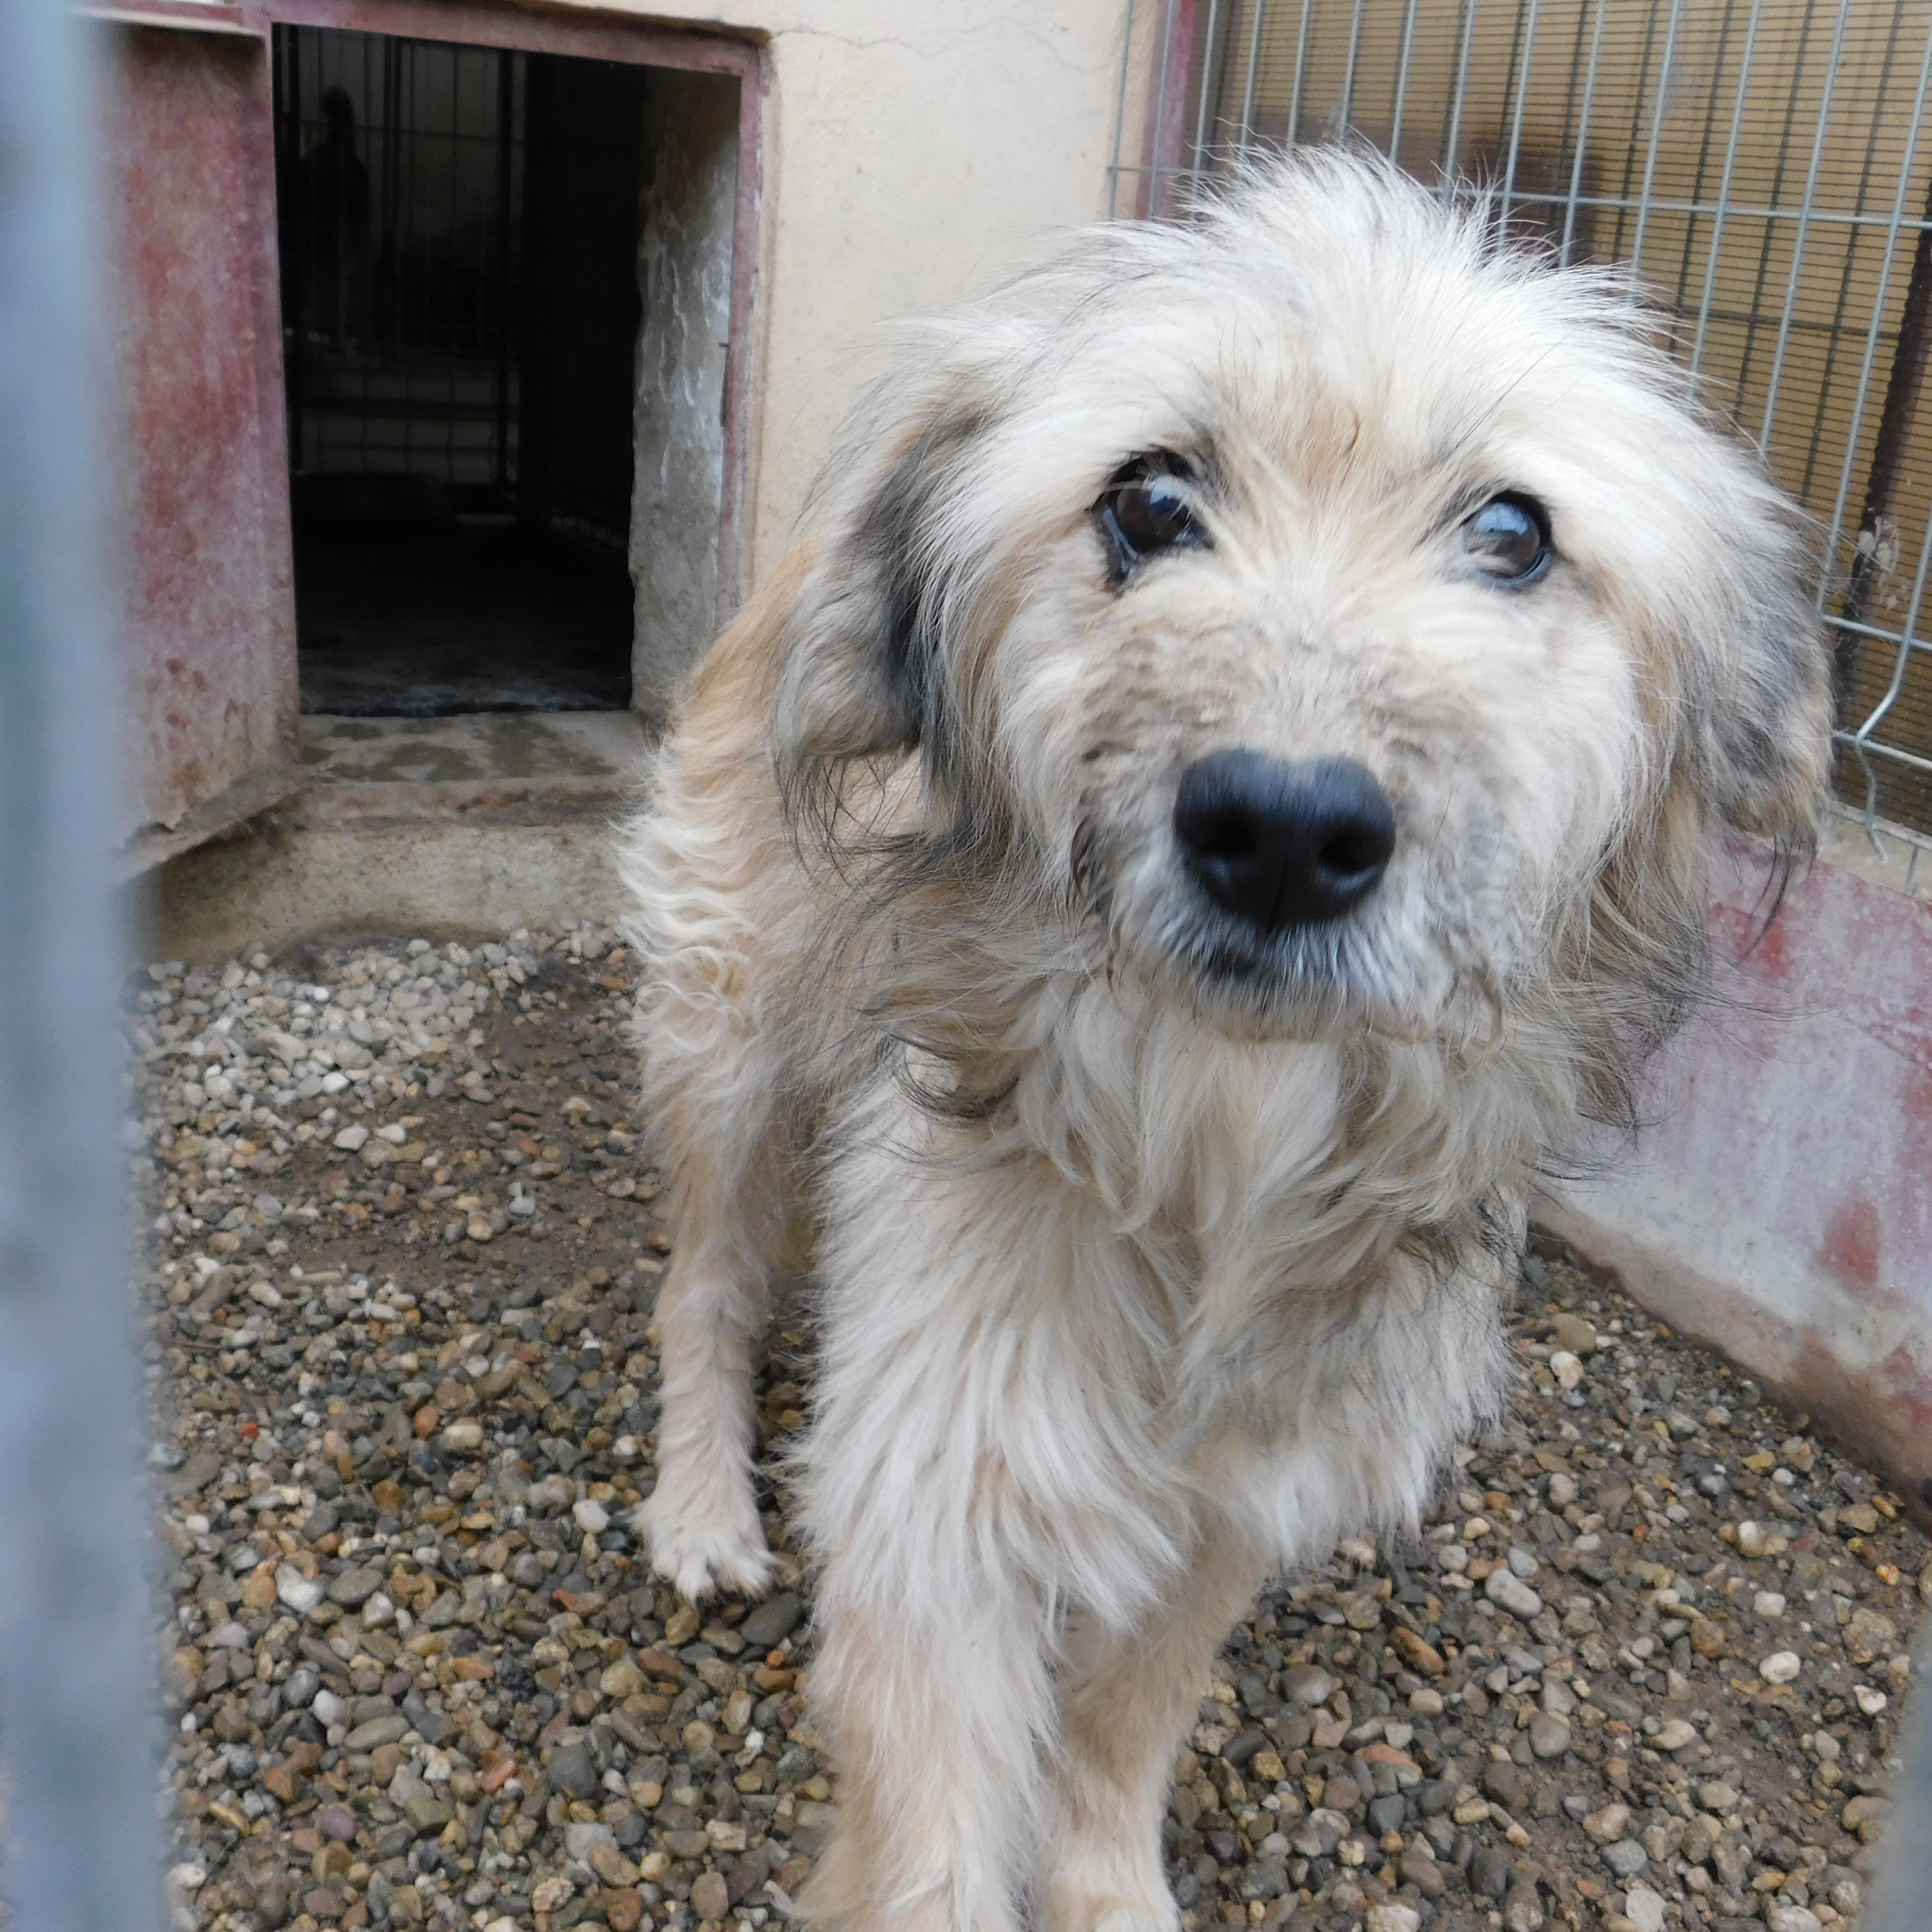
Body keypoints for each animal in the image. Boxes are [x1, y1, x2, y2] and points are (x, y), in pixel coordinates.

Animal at [619, 150, 1830, 1932]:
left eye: (1513, 532)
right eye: (1147, 502)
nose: (1282, 829)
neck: (1211, 1141)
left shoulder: (1246, 1483)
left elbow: (1133, 1716)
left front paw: (1108, 1883)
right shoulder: (940, 1507)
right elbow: (934, 1849)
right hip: (732, 1033)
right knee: (702, 1282)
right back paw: (702, 1505)